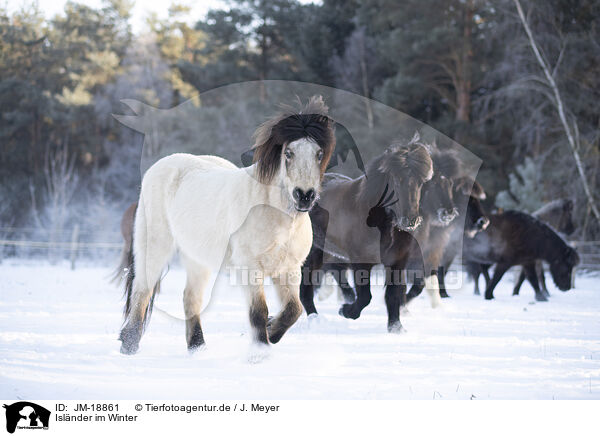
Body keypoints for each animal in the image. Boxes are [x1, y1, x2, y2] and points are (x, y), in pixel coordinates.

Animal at [120, 95, 338, 354]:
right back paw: (129, 344)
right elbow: (258, 312)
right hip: (155, 245)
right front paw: (260, 350)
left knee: (190, 298)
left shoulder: (289, 269)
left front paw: (272, 331)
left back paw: (197, 348)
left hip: (197, 259)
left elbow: (294, 310)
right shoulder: (250, 268)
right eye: (289, 153)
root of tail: (160, 166)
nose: (304, 195)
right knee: (142, 290)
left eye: (319, 153)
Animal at [300, 135, 436, 332]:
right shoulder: (361, 261)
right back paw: (315, 319)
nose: (410, 221)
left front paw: (396, 328)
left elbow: (393, 295)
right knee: (306, 286)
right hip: (313, 252)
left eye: (421, 182)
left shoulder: (397, 262)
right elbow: (365, 297)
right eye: (396, 180)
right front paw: (346, 311)